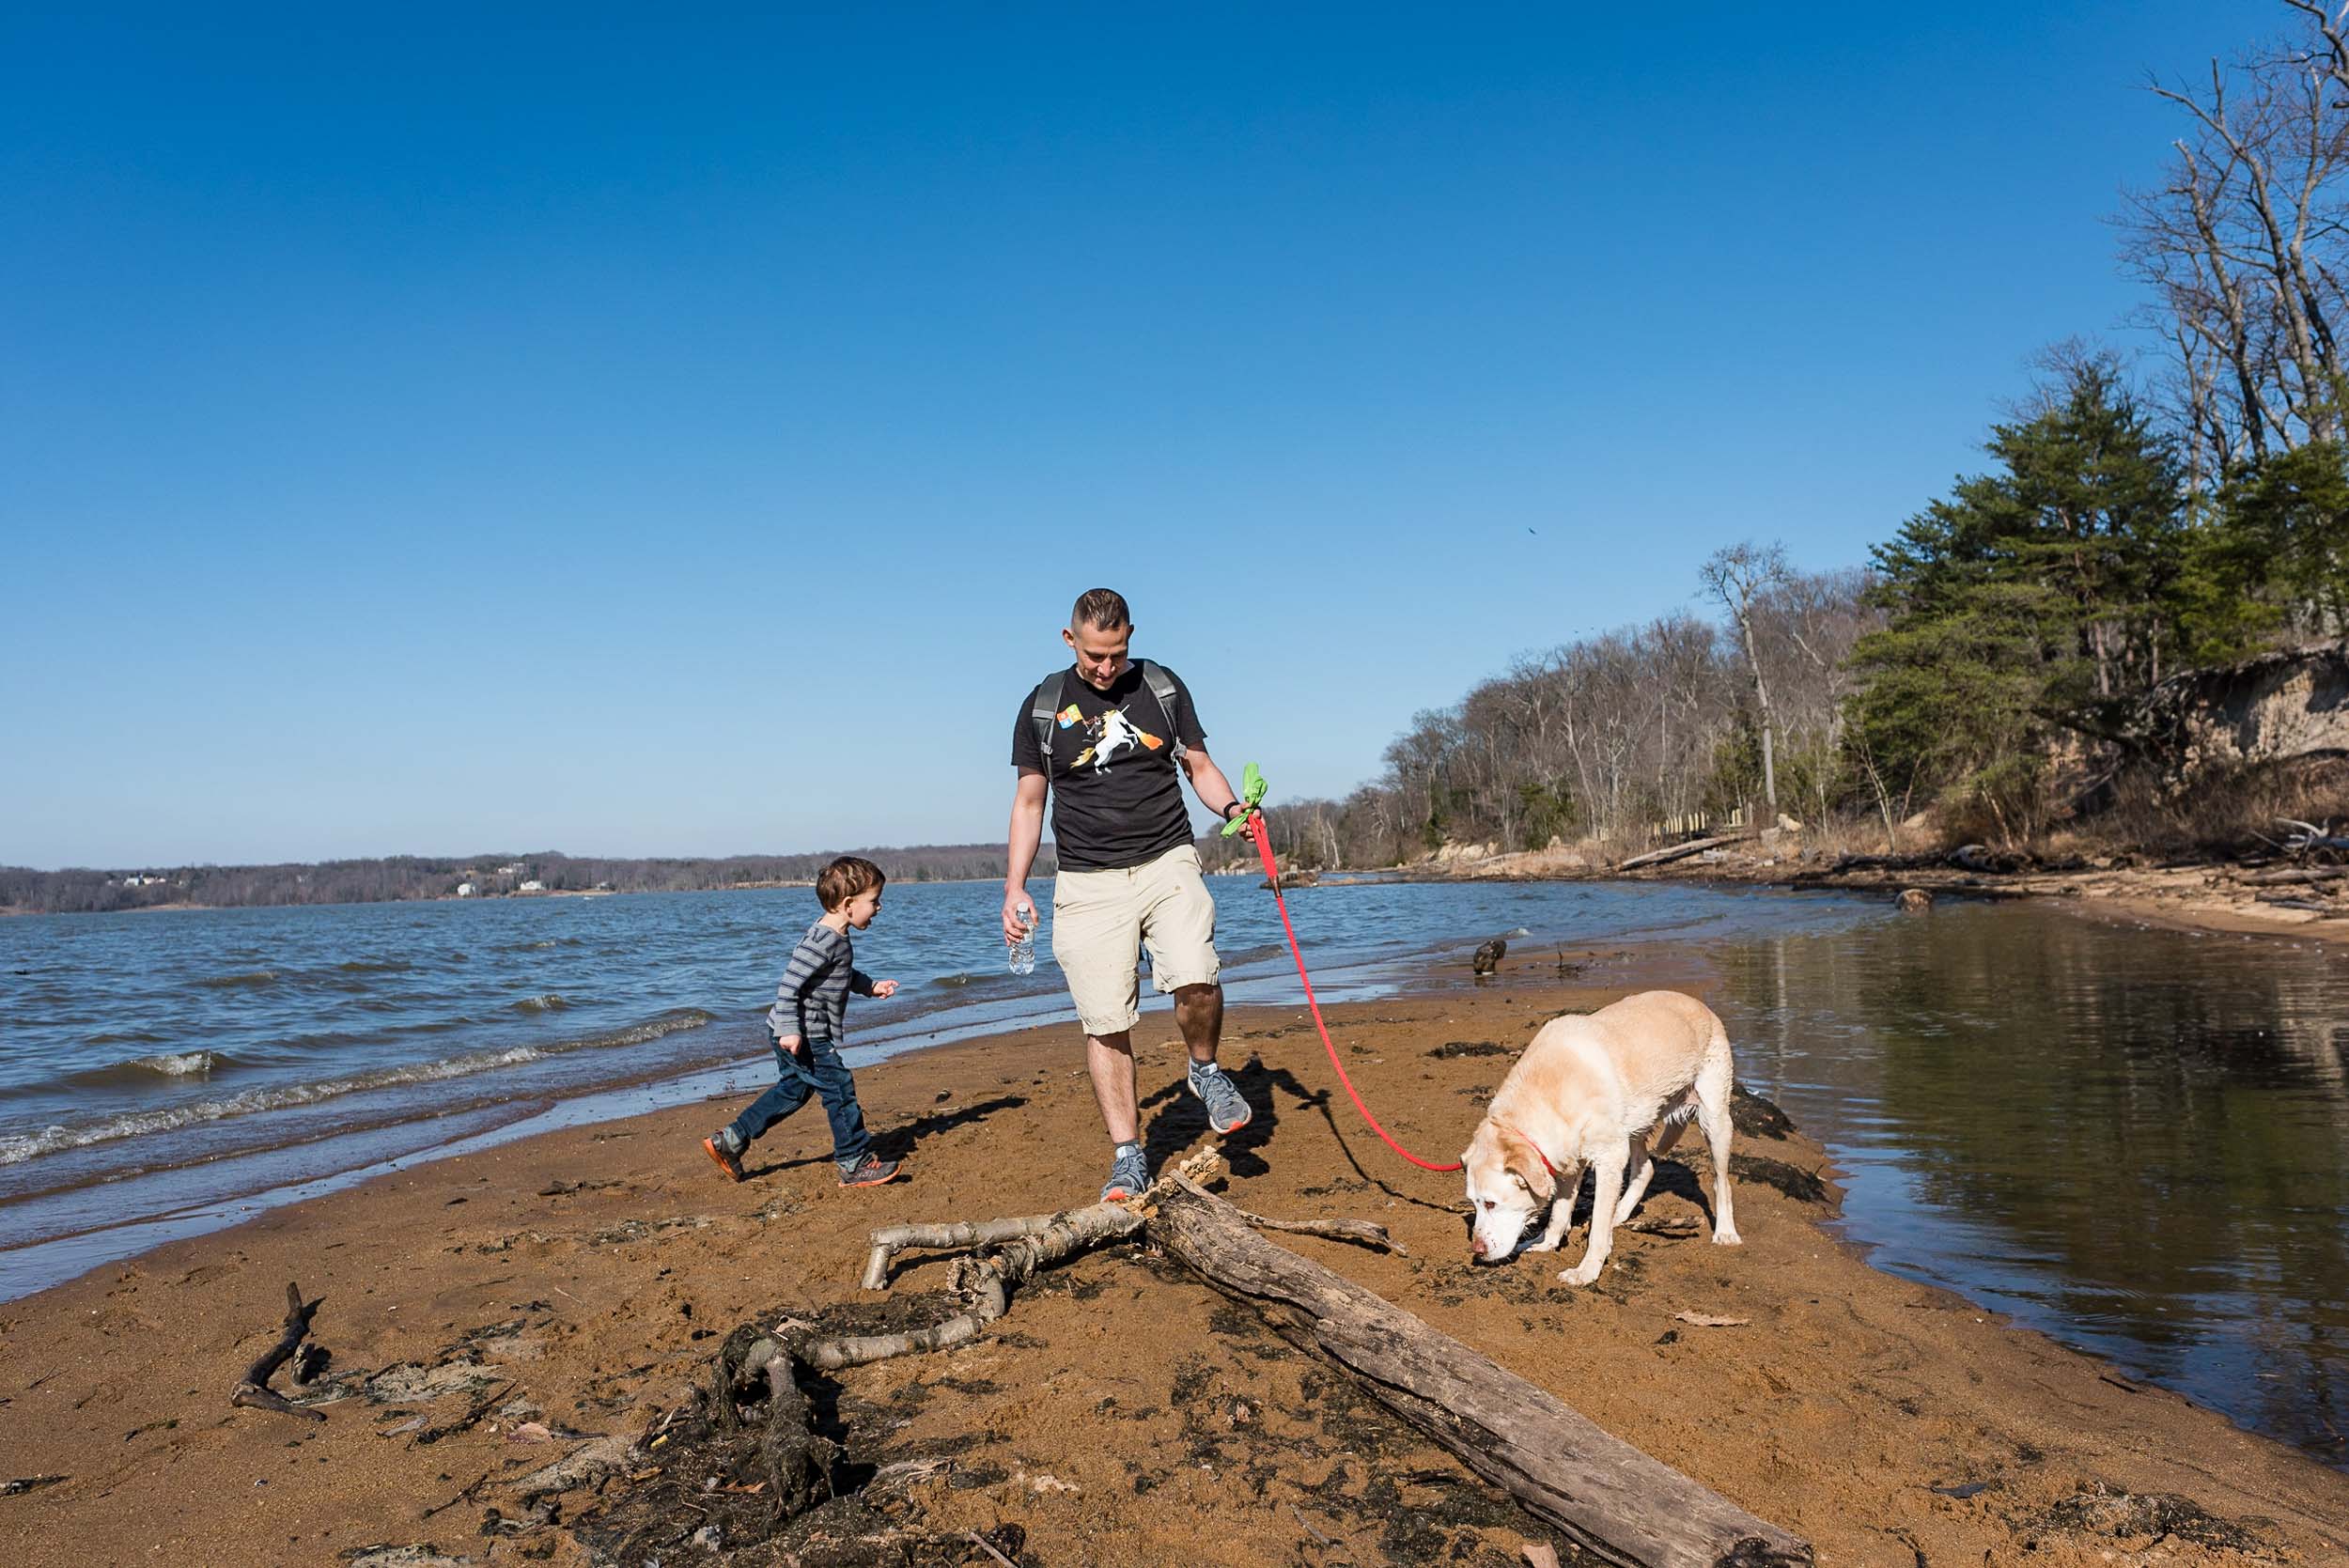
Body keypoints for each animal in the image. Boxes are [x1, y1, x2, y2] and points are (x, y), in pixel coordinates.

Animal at [1456, 990, 1738, 1286]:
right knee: (1646, 1168)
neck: (1549, 1095)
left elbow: (1597, 1229)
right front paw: (1546, 1243)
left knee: (1721, 1181)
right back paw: (1620, 1213)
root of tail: (1698, 1003)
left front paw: (1587, 1270)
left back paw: (1725, 1231)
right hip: (1634, 1124)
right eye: (1472, 1203)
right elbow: (1559, 1213)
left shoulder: (1609, 1159)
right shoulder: (1564, 1162)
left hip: (1714, 1119)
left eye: (1490, 1203)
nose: (1477, 1250)